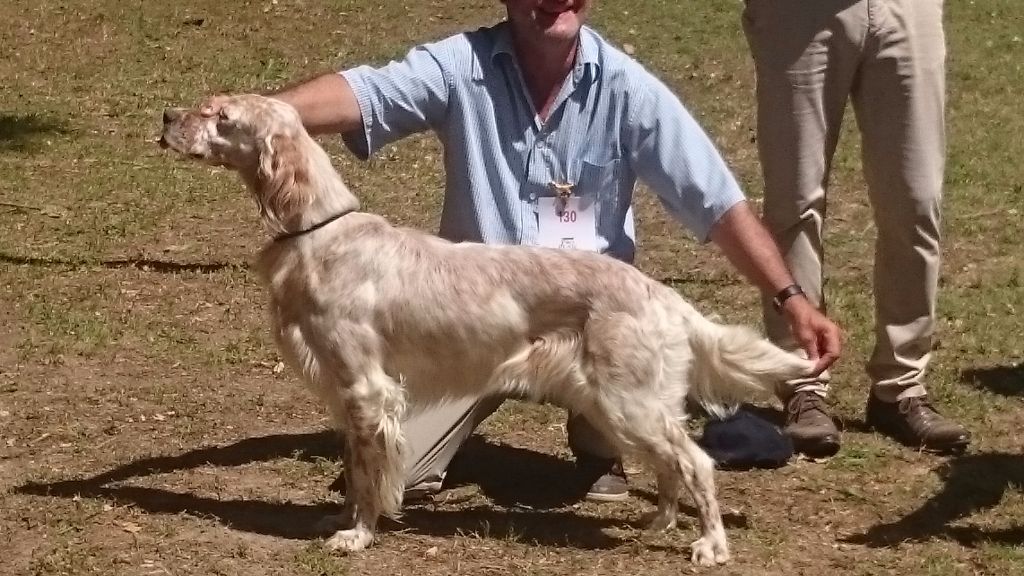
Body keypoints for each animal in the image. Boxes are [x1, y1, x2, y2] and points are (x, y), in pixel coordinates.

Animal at [161, 95, 815, 565]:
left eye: (222, 116)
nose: (166, 118)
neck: (319, 232)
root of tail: (666, 296)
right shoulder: (345, 393)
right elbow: (354, 467)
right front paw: (342, 519)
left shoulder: (366, 387)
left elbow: (370, 474)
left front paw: (358, 534)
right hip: (621, 402)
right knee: (669, 466)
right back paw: (658, 523)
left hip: (629, 401)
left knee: (696, 463)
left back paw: (710, 546)